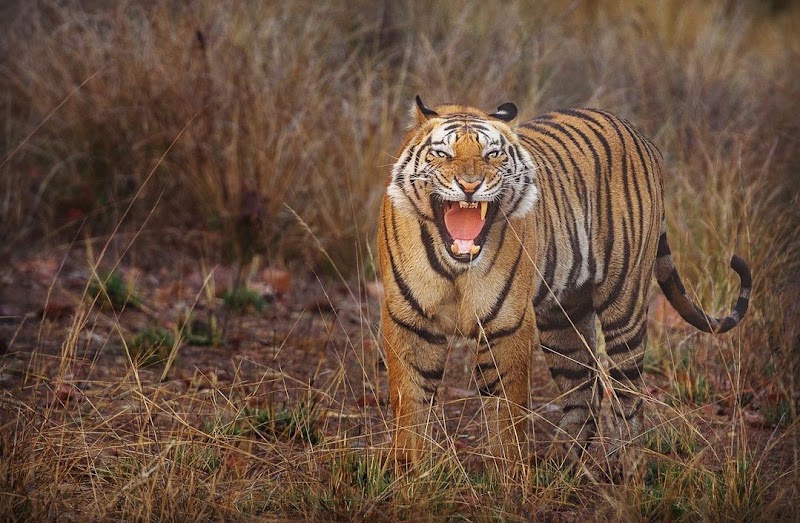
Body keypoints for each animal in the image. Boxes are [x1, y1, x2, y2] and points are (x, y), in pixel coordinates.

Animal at [377, 96, 751, 476]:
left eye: (492, 155)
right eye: (443, 154)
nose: (470, 185)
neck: (456, 265)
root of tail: (640, 135)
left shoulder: (507, 324)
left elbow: (506, 409)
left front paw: (509, 474)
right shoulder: (409, 322)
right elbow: (409, 400)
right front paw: (408, 469)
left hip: (625, 303)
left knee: (627, 392)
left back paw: (625, 467)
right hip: (563, 317)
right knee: (584, 387)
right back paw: (561, 463)